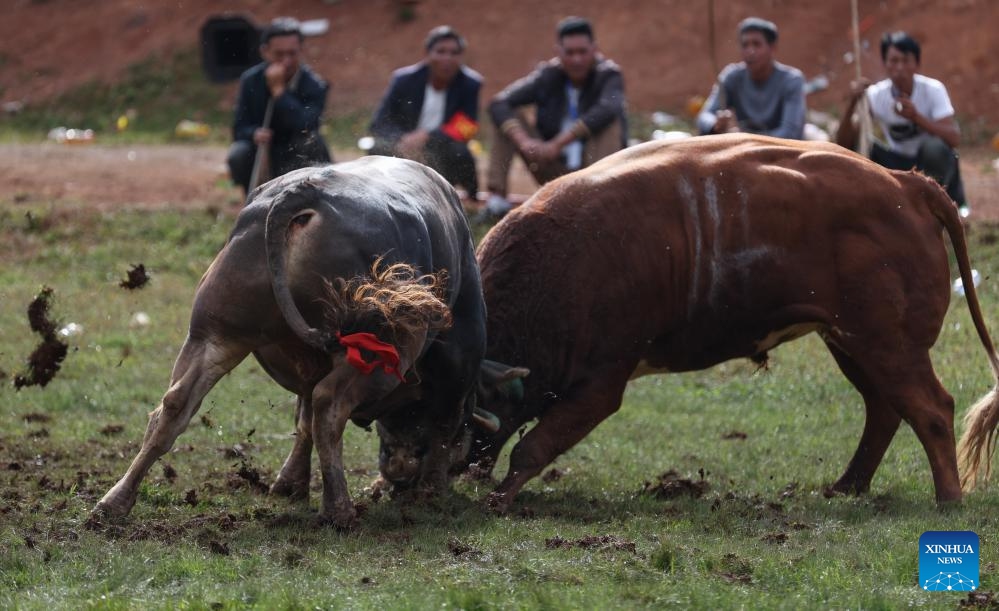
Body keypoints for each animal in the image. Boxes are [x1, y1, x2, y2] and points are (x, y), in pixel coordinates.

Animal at [92, 155, 490, 528]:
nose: (399, 474)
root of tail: (304, 193)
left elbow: (303, 419)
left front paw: (289, 483)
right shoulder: (459, 364)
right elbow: (444, 426)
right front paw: (433, 489)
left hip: (212, 334)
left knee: (174, 406)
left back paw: (114, 502)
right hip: (383, 350)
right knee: (329, 406)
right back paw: (339, 510)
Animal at [464, 133, 999, 512]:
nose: (456, 468)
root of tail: (907, 182)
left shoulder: (601, 382)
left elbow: (534, 445)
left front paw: (500, 498)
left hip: (889, 344)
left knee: (931, 409)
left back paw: (948, 500)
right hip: (852, 342)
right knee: (885, 409)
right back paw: (847, 487)